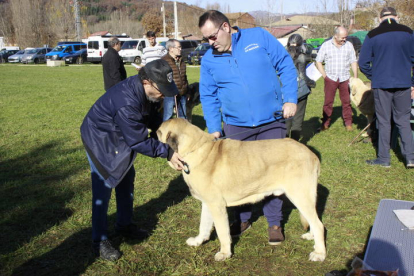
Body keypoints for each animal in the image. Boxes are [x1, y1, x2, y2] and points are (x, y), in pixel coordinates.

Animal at [157, 118, 326, 260]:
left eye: (158, 132)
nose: (152, 133)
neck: (195, 148)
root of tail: (312, 154)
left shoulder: (217, 206)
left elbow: (222, 232)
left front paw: (225, 253)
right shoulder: (207, 203)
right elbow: (203, 226)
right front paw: (198, 241)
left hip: (300, 196)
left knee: (319, 225)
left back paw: (319, 253)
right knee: (314, 220)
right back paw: (312, 238)